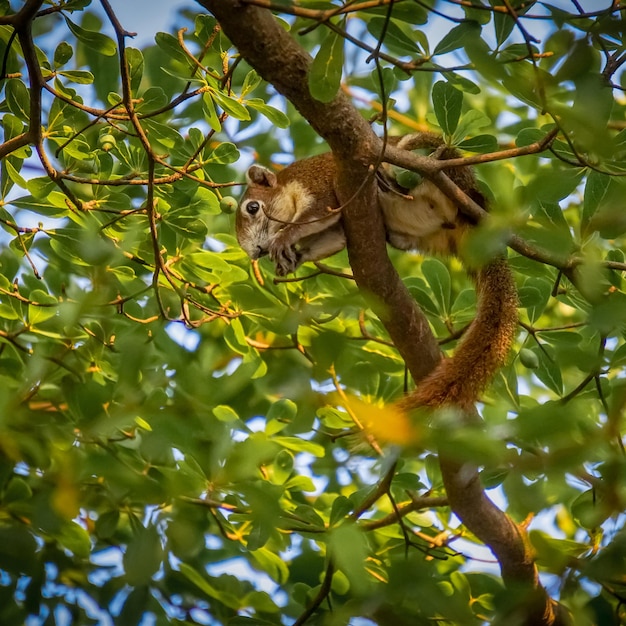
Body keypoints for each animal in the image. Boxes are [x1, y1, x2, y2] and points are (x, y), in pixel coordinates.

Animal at [236, 133, 516, 410]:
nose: (257, 252)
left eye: (252, 207)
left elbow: (318, 213)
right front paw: (292, 259)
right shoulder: (337, 229)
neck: (289, 185)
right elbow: (335, 238)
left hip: (435, 162)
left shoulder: (319, 184)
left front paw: (284, 238)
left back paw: (388, 182)